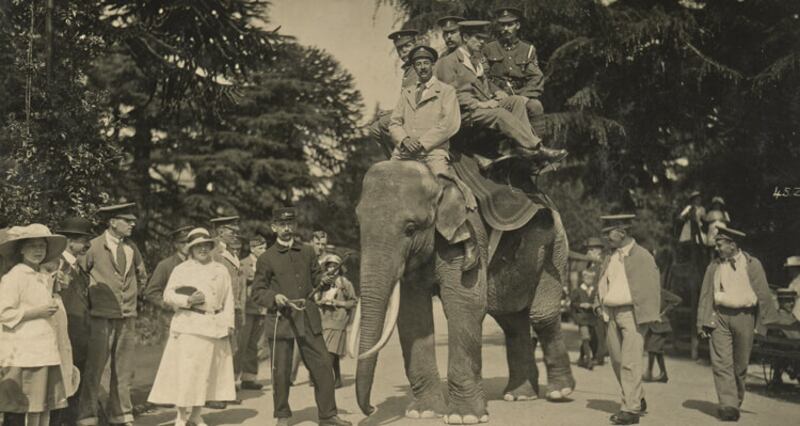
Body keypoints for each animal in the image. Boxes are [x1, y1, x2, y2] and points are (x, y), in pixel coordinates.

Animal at [350, 160, 576, 422]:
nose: (371, 409)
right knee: (511, 320)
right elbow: (413, 315)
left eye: (411, 228)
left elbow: (464, 305)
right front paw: (423, 412)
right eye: (358, 225)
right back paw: (520, 395)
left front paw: (464, 417)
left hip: (554, 247)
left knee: (541, 315)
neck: (438, 184)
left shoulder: (469, 236)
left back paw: (559, 392)